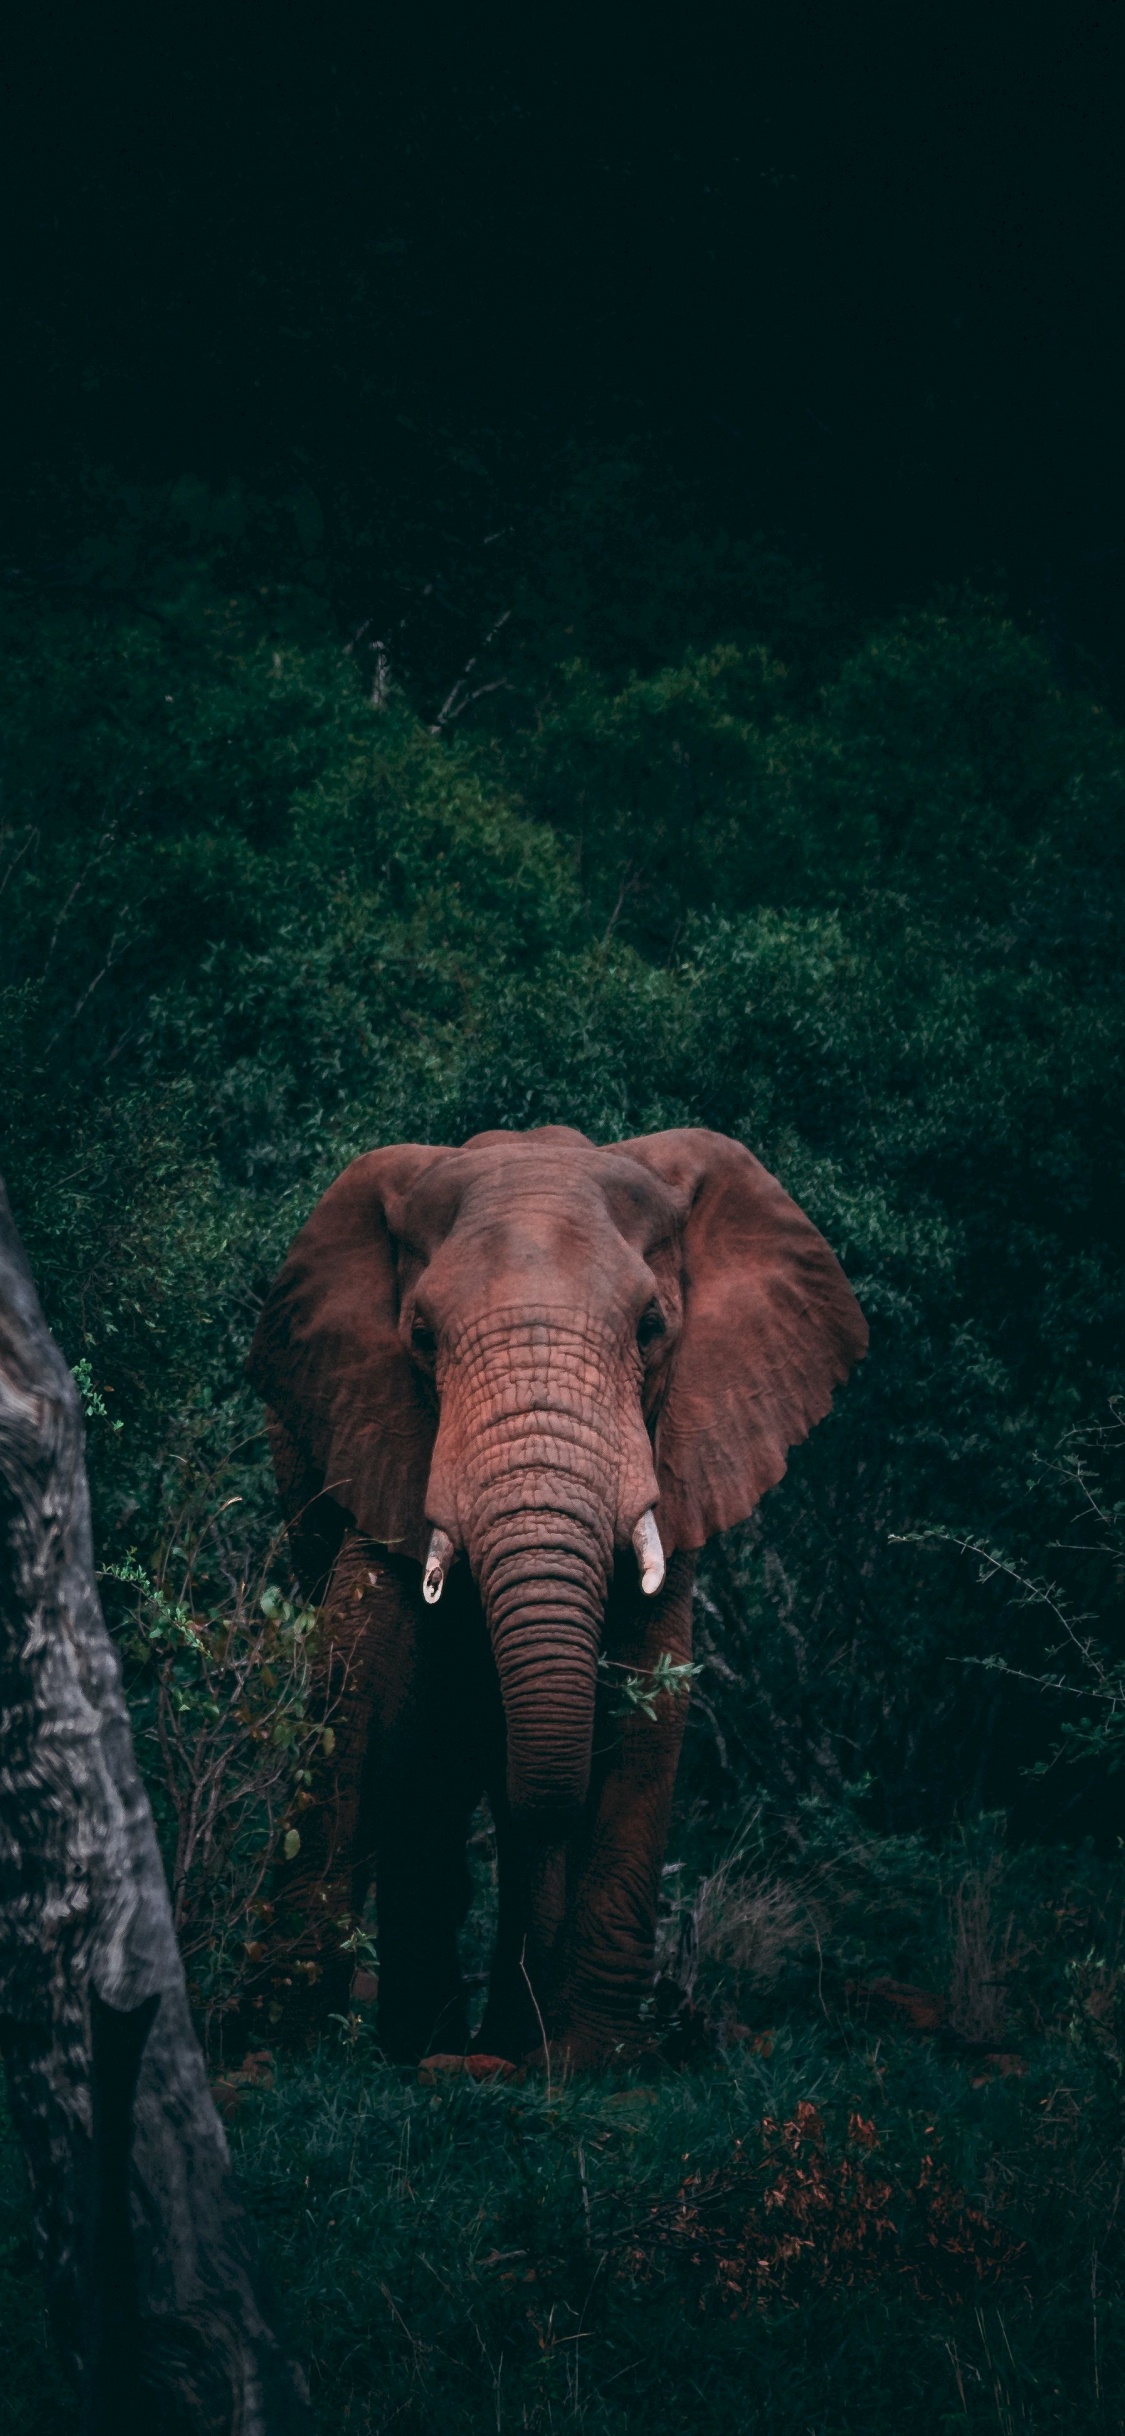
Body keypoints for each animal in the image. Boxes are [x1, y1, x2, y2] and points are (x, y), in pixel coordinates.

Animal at [246, 1124, 866, 2067]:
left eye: (651, 1328)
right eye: (420, 1335)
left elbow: (651, 1698)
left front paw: (593, 2061)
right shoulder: (374, 1433)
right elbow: (360, 1685)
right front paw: (279, 2041)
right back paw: (432, 2039)